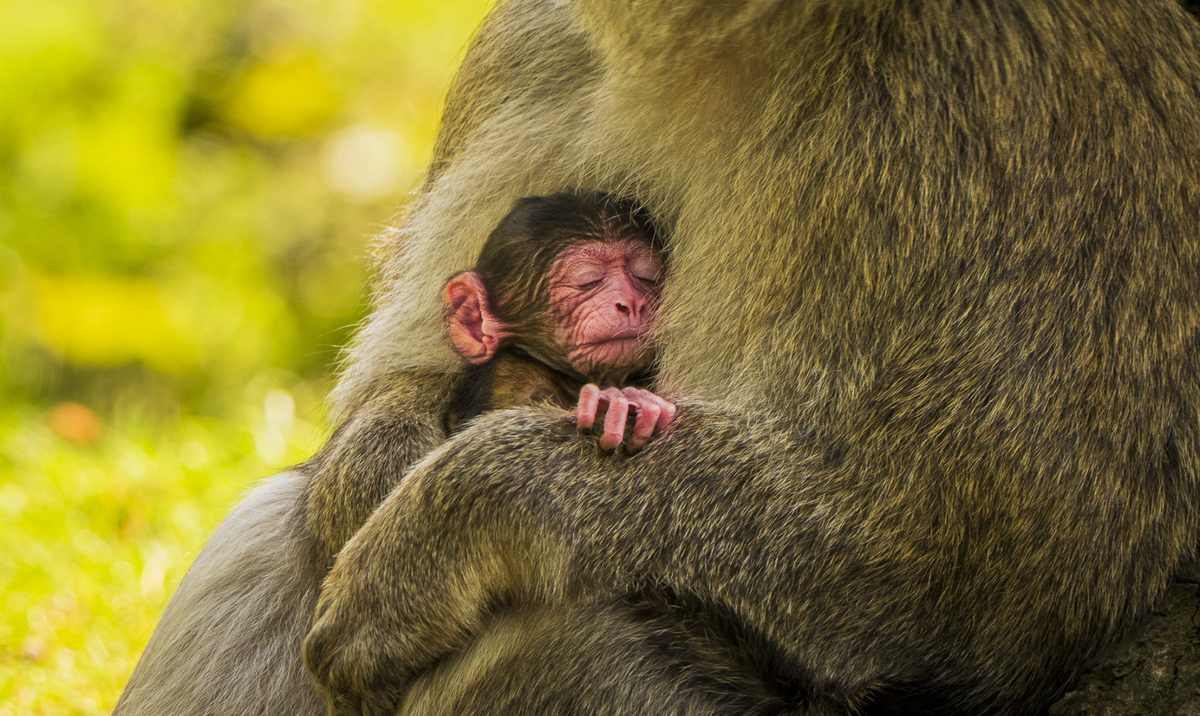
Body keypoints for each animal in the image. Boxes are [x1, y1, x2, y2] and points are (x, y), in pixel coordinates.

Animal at [114, 1, 1200, 715]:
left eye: (636, 274)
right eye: (590, 278)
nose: (625, 303)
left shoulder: (1003, 110)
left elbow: (987, 564)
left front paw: (458, 515)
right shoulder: (541, 48)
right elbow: (407, 385)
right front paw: (368, 478)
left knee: (564, 631)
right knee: (271, 535)